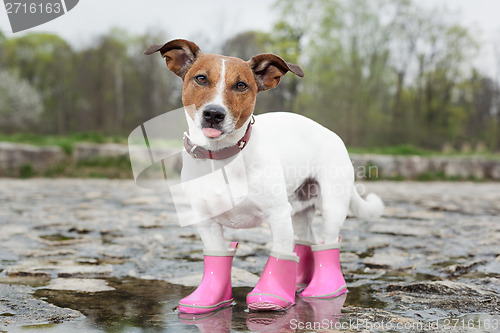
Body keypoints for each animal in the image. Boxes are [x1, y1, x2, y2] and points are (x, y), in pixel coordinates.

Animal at [143, 39, 384, 312]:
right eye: (201, 78)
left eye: (241, 85)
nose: (214, 114)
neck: (222, 158)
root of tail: (332, 134)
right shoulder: (207, 222)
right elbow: (216, 258)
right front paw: (210, 300)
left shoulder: (277, 215)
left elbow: (281, 254)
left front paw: (272, 295)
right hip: (299, 211)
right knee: (306, 241)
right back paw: (300, 281)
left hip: (332, 206)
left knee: (327, 244)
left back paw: (325, 289)